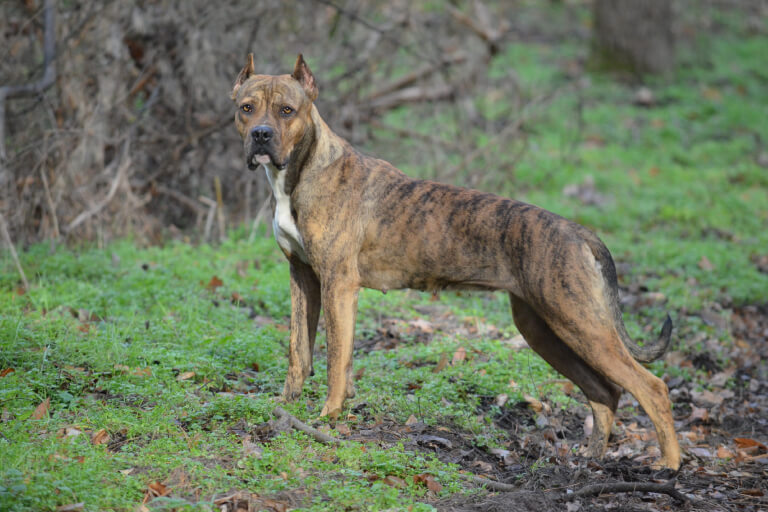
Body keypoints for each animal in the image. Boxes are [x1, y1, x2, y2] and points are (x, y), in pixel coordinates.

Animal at [231, 55, 680, 468]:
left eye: (287, 110)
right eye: (247, 107)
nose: (261, 135)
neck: (303, 171)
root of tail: (578, 232)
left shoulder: (337, 284)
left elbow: (336, 360)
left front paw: (329, 417)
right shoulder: (302, 277)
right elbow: (298, 352)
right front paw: (286, 407)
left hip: (581, 323)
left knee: (652, 387)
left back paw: (669, 464)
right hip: (545, 329)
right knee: (606, 391)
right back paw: (591, 459)